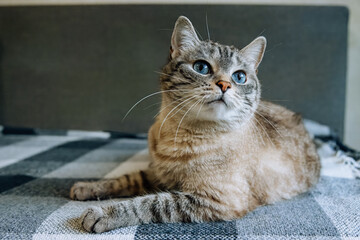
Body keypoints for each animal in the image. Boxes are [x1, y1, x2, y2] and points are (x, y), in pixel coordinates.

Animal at [69, 15, 320, 232]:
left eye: (239, 77)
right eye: (201, 67)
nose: (224, 85)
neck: (180, 135)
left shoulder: (213, 199)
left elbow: (148, 203)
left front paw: (102, 214)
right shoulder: (157, 174)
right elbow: (123, 180)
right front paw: (86, 187)